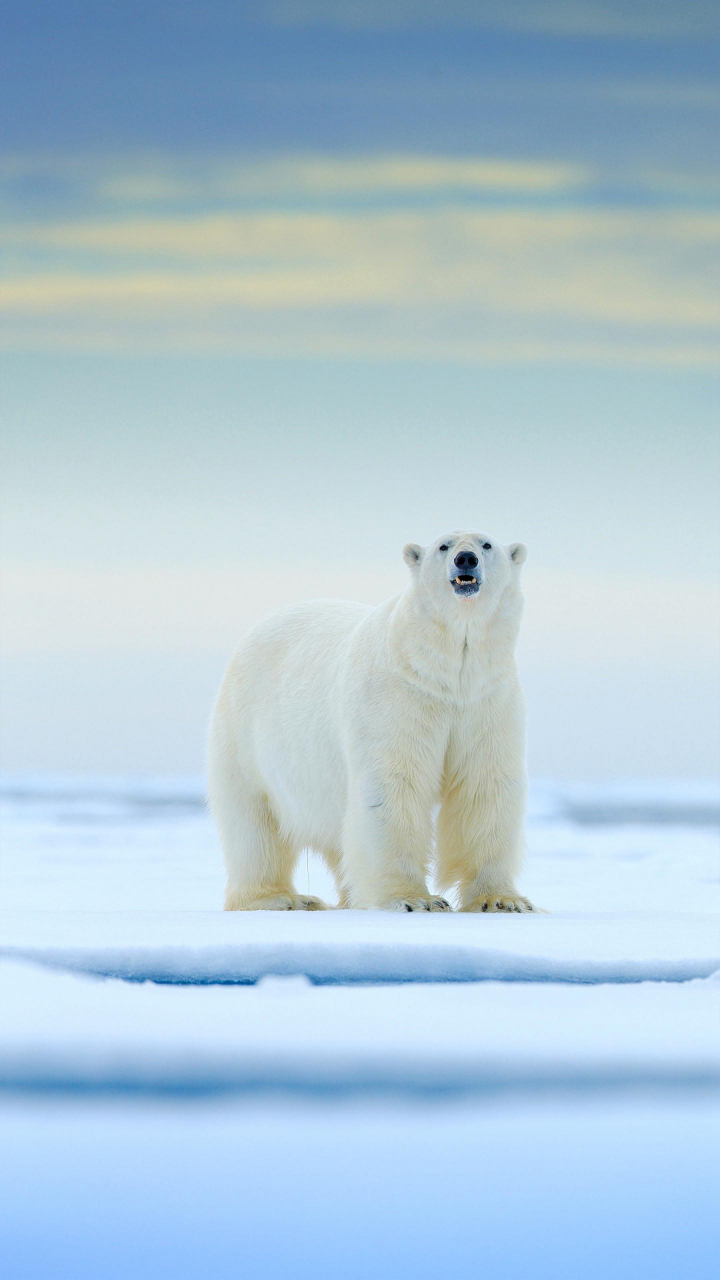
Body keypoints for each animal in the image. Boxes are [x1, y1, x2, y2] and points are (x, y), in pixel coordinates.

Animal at [207, 529, 532, 911]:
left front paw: (502, 900)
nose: (465, 559)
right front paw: (415, 900)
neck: (445, 673)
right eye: (443, 545)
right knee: (254, 826)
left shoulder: (486, 700)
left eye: (486, 544)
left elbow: (484, 786)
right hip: (244, 734)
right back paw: (283, 898)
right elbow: (393, 785)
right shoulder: (398, 695)